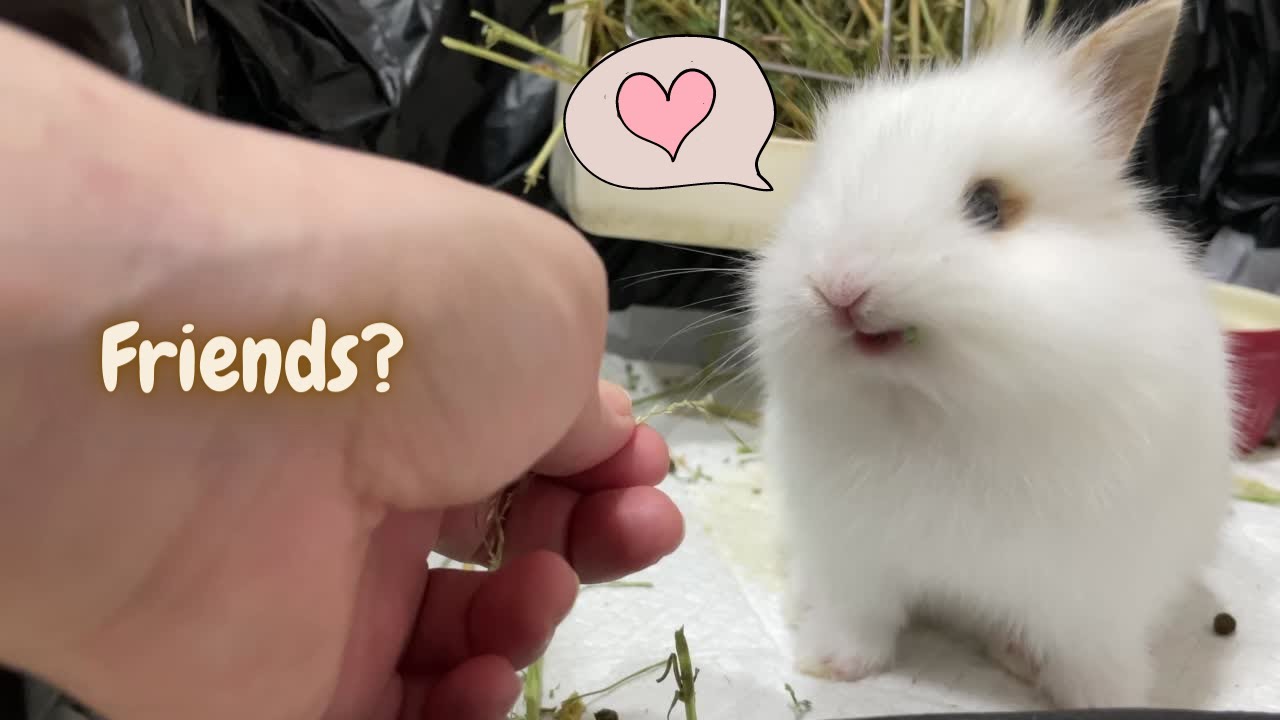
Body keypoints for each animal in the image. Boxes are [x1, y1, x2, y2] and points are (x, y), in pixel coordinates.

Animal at [745, 0, 1238, 709]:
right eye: (819, 190)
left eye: (988, 205)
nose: (836, 287)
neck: (937, 406)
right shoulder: (852, 555)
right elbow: (857, 617)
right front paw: (832, 664)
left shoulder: (1098, 594)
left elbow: (1092, 656)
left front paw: (1100, 699)